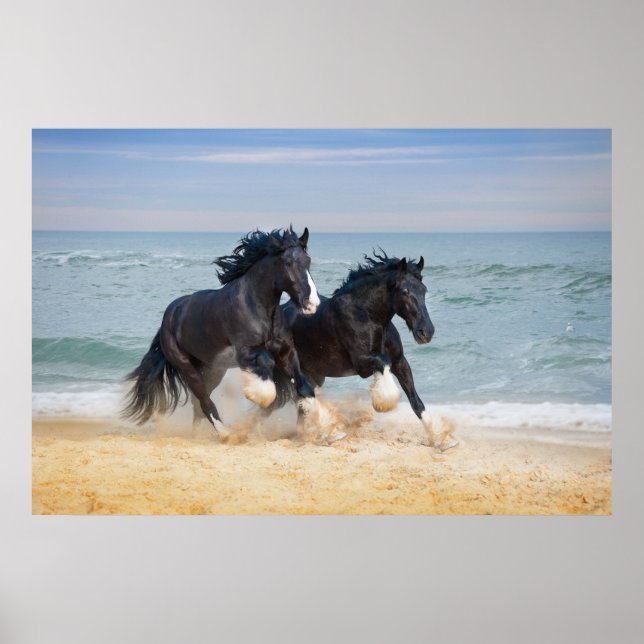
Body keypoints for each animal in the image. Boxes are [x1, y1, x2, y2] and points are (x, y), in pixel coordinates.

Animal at [122, 227, 321, 438]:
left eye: (308, 261)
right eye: (288, 263)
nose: (312, 303)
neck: (256, 306)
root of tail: (169, 317)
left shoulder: (286, 351)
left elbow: (304, 386)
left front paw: (317, 421)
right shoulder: (245, 352)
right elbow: (267, 362)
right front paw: (259, 394)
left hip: (213, 370)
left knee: (198, 404)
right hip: (188, 368)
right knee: (204, 402)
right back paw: (225, 434)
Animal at [270, 251, 458, 451]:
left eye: (424, 290)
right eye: (405, 291)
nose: (426, 332)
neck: (367, 316)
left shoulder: (400, 361)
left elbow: (416, 402)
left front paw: (442, 440)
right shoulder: (361, 363)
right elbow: (383, 362)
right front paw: (383, 402)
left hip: (314, 374)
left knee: (303, 403)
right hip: (290, 366)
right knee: (303, 395)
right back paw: (330, 434)